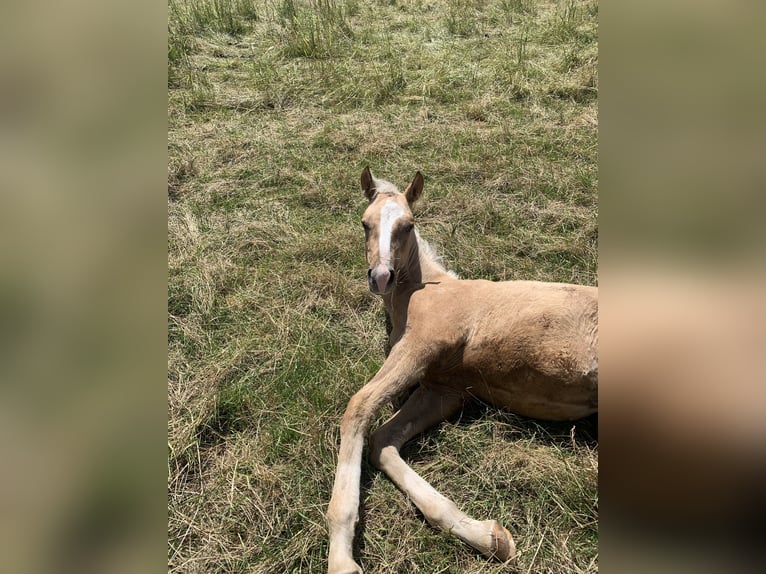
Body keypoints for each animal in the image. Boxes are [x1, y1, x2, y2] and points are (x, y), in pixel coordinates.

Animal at [326, 169, 600, 574]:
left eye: (408, 225)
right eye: (365, 223)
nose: (381, 276)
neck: (427, 289)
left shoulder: (421, 345)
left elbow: (359, 407)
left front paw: (341, 559)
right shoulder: (444, 389)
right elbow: (383, 442)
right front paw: (489, 537)